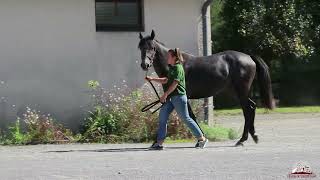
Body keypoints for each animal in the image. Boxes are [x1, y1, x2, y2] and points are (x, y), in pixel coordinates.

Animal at [137, 30, 272, 146]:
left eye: (152, 47)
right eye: (141, 48)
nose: (144, 65)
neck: (176, 64)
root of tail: (249, 57)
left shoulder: (183, 97)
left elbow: (191, 117)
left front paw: (201, 139)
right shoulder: (170, 97)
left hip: (241, 91)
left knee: (247, 110)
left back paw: (242, 139)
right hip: (236, 92)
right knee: (251, 107)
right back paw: (253, 136)